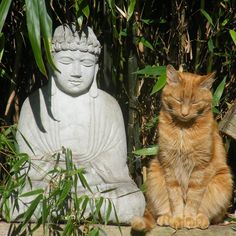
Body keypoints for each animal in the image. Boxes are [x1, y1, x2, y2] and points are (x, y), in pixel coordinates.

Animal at [132, 64, 233, 230]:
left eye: (194, 102)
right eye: (178, 100)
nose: (184, 113)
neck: (183, 130)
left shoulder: (200, 168)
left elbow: (194, 198)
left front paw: (189, 218)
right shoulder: (169, 166)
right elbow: (175, 198)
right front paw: (178, 218)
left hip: (223, 180)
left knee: (211, 215)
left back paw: (201, 219)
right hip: (154, 173)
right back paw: (166, 217)